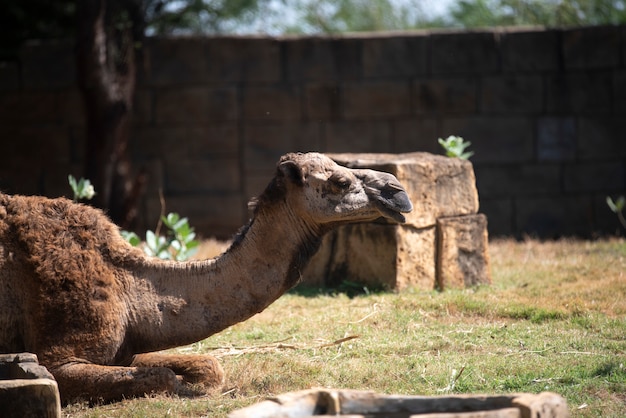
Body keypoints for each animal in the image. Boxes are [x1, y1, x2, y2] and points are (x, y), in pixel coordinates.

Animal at [0, 152, 412, 404]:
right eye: (340, 181)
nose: (398, 193)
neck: (127, 286)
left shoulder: (130, 346)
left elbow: (208, 366)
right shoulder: (61, 357)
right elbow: (163, 378)